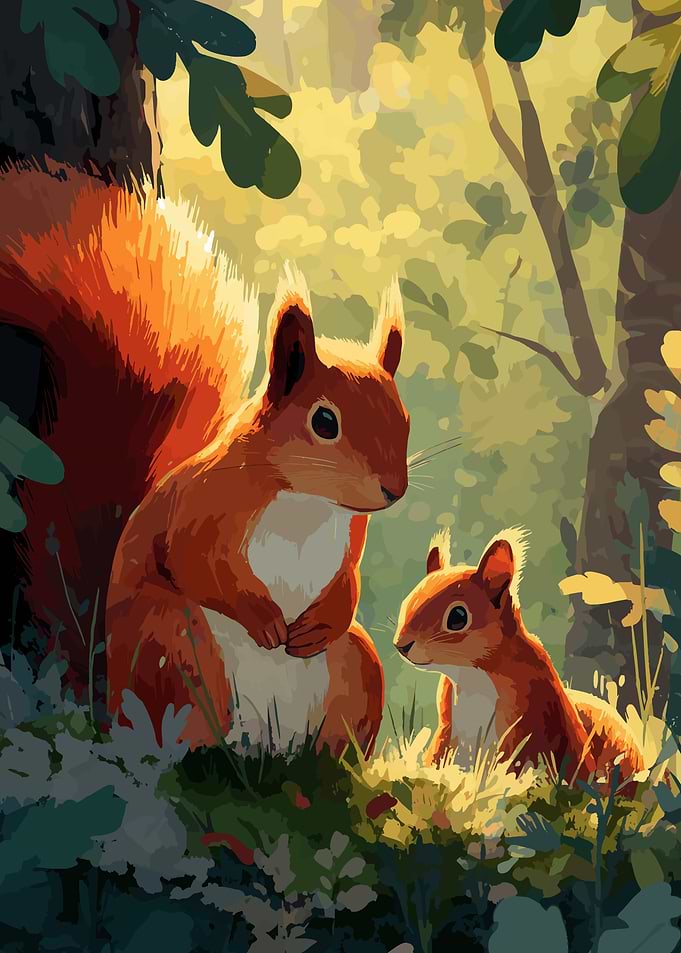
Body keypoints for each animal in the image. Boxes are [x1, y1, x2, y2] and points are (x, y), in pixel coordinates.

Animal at [0, 165, 410, 756]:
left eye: (403, 416)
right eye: (325, 422)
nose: (393, 490)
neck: (307, 501)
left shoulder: (352, 531)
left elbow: (347, 583)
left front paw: (318, 623)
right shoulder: (204, 504)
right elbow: (194, 560)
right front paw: (264, 619)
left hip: (356, 669)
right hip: (176, 644)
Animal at [393, 527, 644, 792]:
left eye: (458, 617)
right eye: (407, 601)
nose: (401, 645)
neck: (472, 675)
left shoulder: (527, 720)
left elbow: (511, 768)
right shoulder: (447, 726)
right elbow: (437, 757)